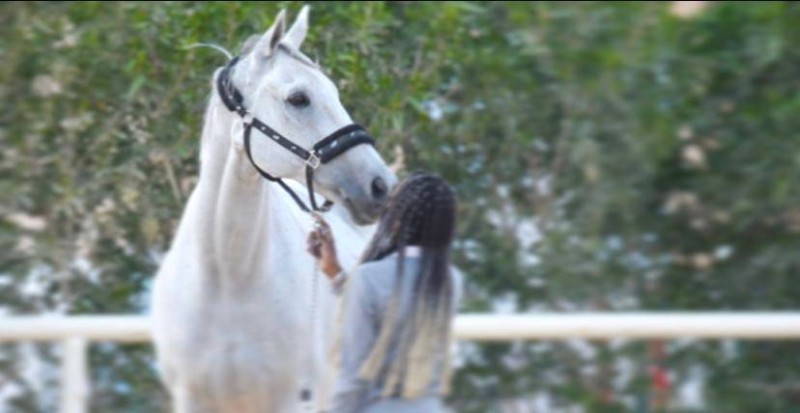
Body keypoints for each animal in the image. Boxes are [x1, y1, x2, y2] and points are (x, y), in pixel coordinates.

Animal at [151, 7, 396, 412]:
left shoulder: (292, 399)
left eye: (334, 92)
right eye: (298, 98)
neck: (229, 280)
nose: (380, 187)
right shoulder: (191, 399)